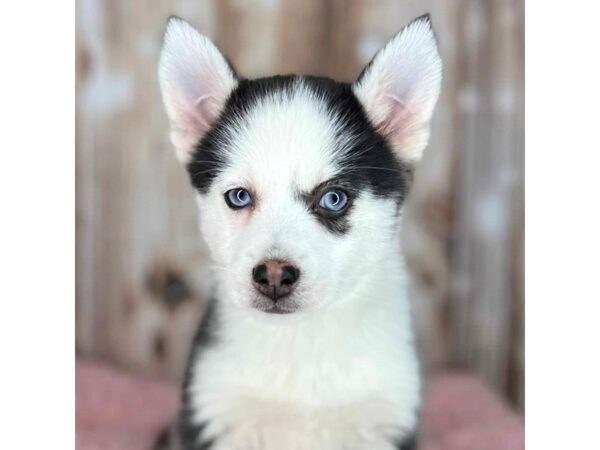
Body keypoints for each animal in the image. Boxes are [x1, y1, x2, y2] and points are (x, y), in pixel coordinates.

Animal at [157, 14, 442, 450]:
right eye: (239, 196)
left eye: (333, 199)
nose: (273, 276)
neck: (300, 339)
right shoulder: (213, 416)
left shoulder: (385, 420)